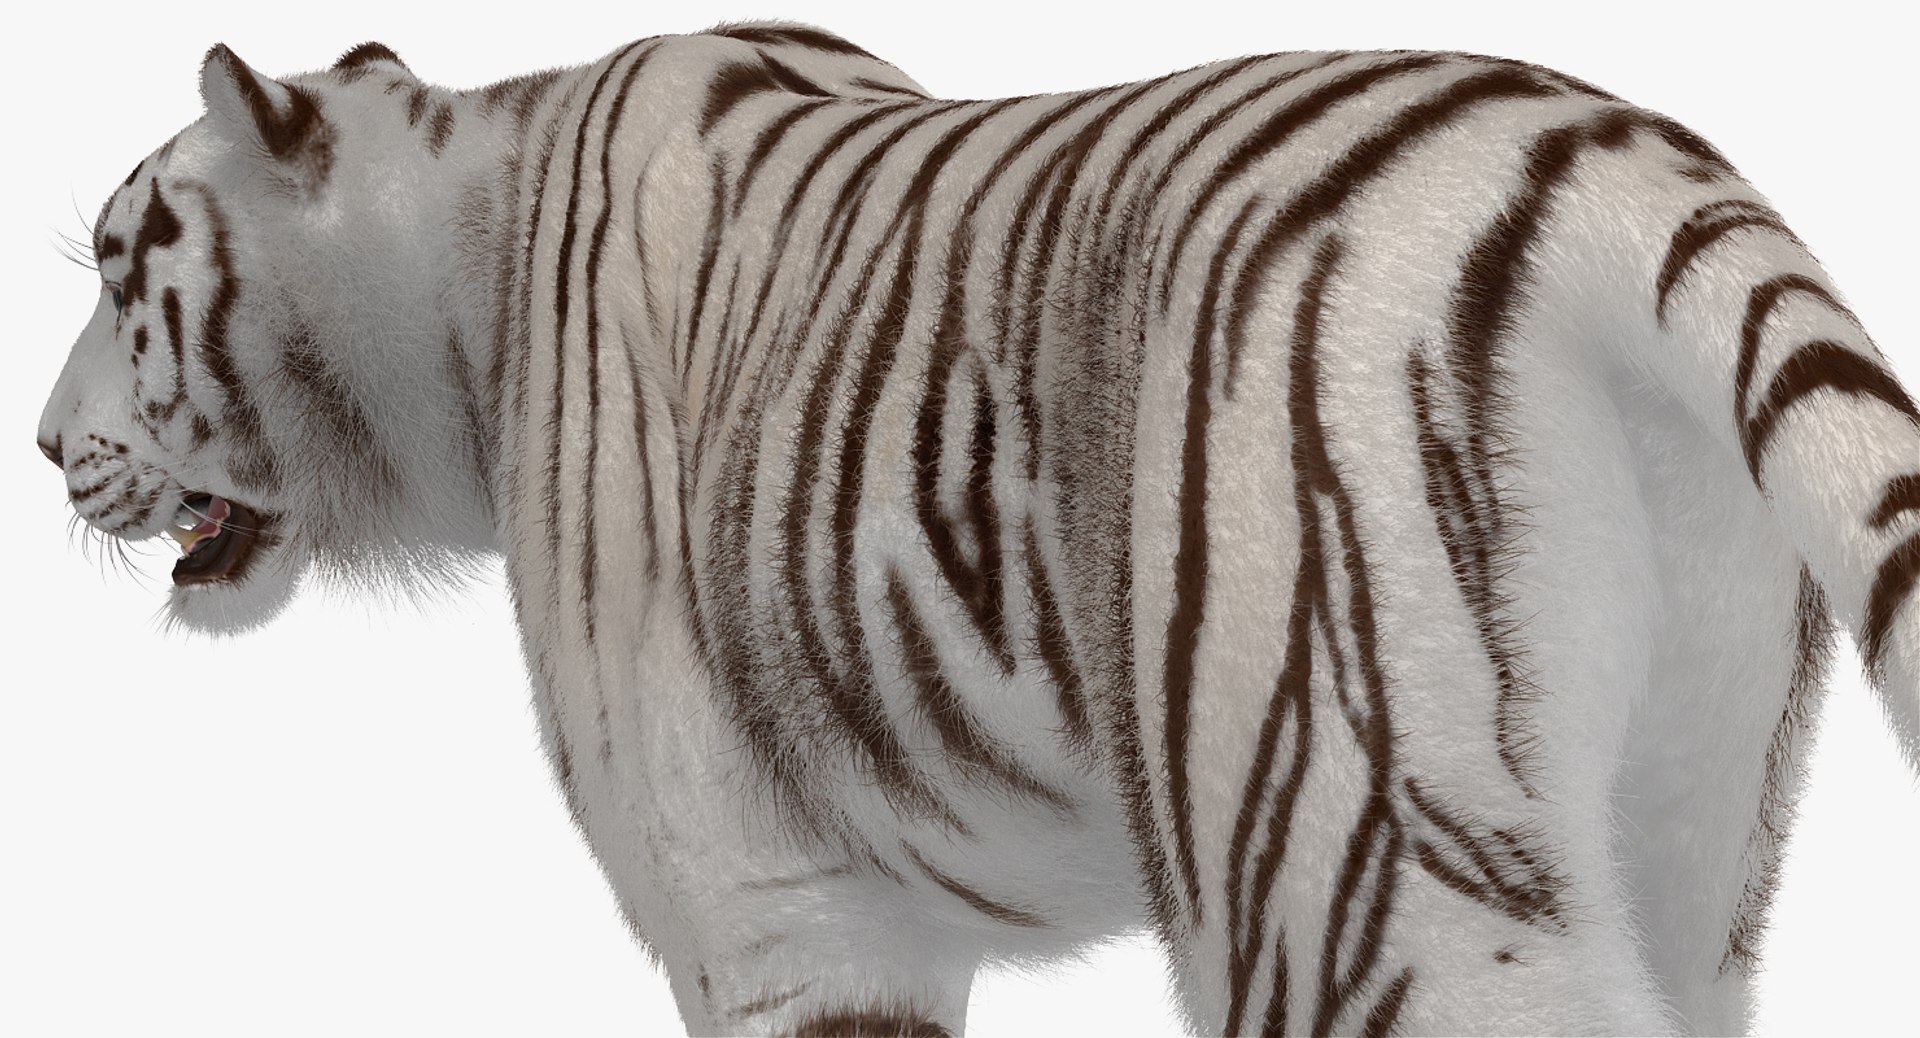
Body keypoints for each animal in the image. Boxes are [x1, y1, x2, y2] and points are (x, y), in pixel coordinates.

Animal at [35, 21, 1920, 1037]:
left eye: (126, 277)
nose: (47, 449)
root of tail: (1628, 173)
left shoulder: (774, 906)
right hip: (1685, 830)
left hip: (1355, 844)